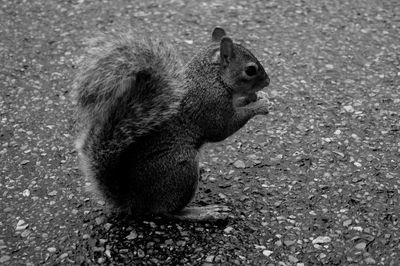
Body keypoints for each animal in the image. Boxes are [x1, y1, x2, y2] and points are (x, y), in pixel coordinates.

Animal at [73, 27, 270, 221]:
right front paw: (259, 105)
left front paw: (252, 98)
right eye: (250, 70)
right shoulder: (210, 105)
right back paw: (205, 213)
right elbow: (223, 128)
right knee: (168, 212)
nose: (268, 82)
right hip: (181, 170)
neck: (213, 77)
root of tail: (132, 202)